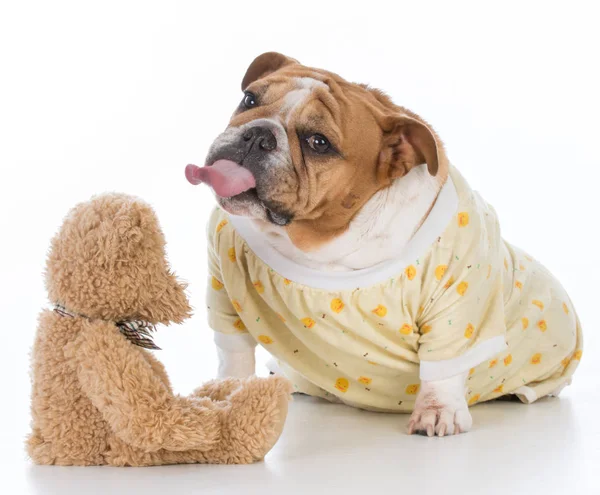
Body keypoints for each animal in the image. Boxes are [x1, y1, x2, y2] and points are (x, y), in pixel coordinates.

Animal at [186, 52, 580, 436]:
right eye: (250, 99)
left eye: (319, 142)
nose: (258, 134)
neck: (318, 243)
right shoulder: (224, 286)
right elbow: (234, 352)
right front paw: (227, 392)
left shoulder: (460, 296)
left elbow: (445, 363)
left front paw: (438, 411)